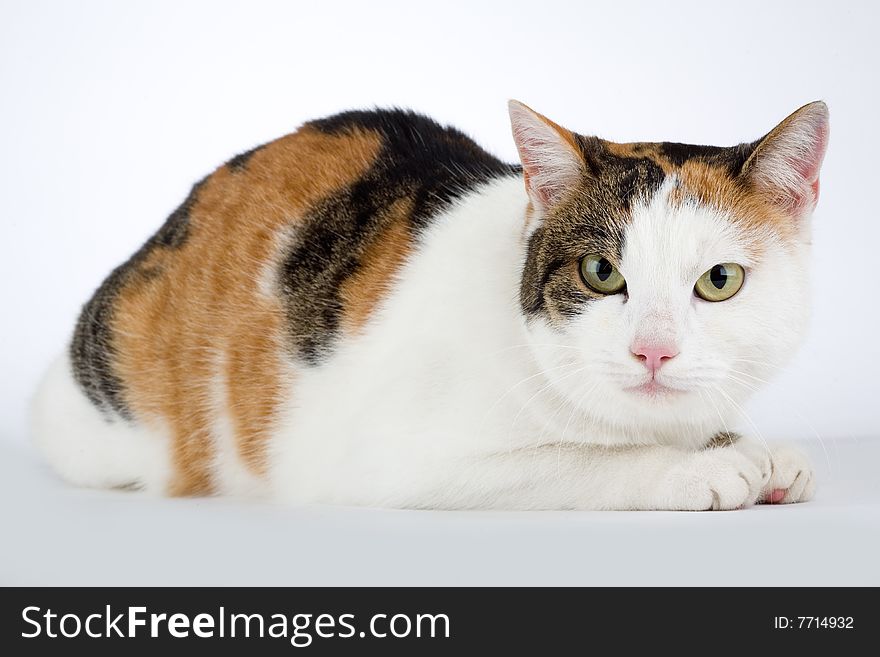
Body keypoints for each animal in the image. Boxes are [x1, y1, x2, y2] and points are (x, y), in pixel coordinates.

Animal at [29, 98, 824, 508]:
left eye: (718, 280)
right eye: (602, 272)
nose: (652, 349)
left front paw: (753, 449)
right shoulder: (386, 459)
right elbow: (580, 462)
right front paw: (694, 466)